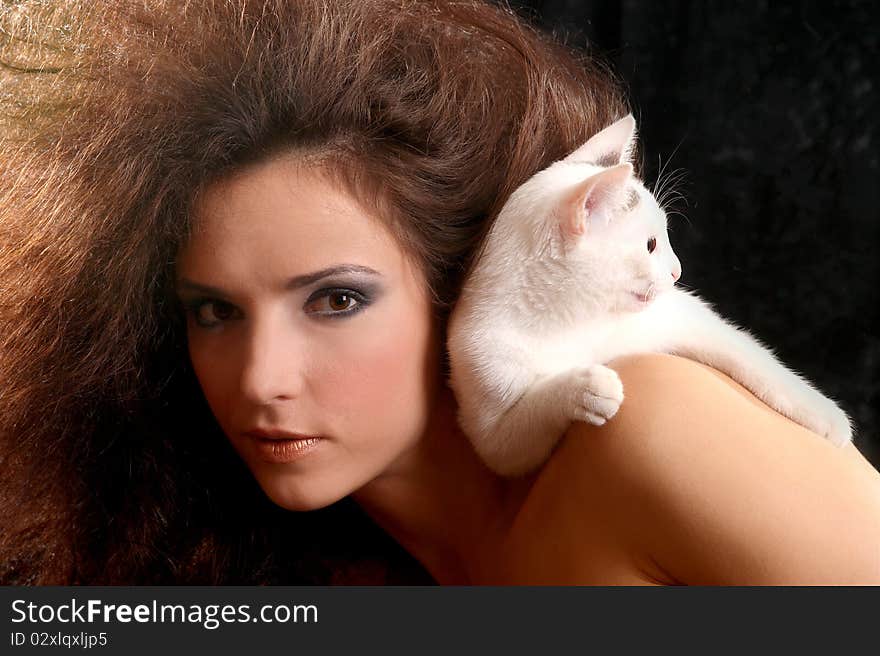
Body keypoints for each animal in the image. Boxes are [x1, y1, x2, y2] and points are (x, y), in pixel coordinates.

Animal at [446, 114, 852, 476]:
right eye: (651, 245)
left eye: (664, 237)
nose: (677, 271)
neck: (578, 321)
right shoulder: (488, 410)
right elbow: (519, 432)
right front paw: (585, 387)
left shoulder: (685, 316)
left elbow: (752, 356)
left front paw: (825, 414)